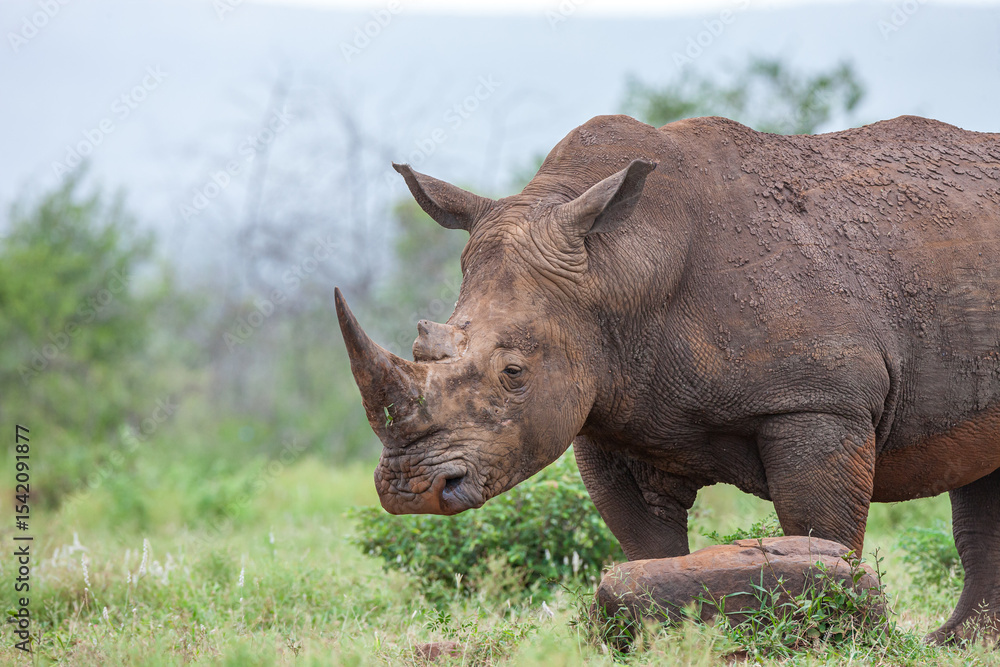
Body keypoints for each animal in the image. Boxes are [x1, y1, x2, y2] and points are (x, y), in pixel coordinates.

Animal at [336, 114, 1000, 642]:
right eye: (421, 347)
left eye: (514, 374)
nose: (411, 489)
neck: (617, 267)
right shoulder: (610, 413)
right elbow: (646, 548)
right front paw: (662, 633)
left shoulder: (819, 404)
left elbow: (820, 535)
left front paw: (834, 632)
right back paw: (959, 644)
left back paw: (949, 643)